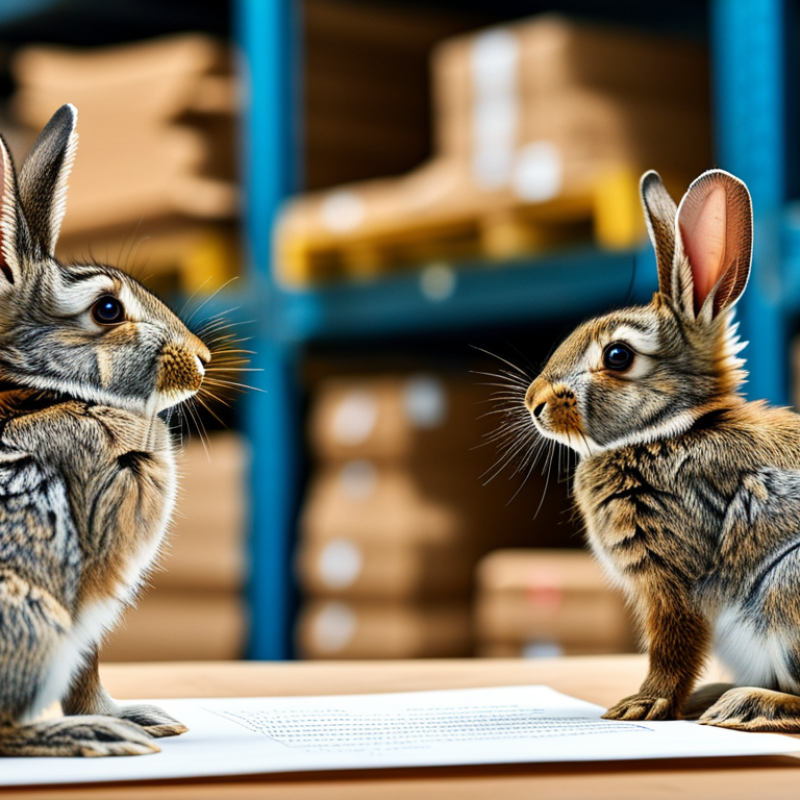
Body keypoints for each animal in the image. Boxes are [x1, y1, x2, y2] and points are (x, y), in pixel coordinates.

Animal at [0, 104, 211, 756]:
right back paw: (90, 736)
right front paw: (118, 721)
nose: (202, 360)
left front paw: (146, 717)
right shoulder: (91, 581)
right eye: (108, 310)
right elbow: (84, 664)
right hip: (32, 614)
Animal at [524, 166, 800, 732]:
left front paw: (640, 706)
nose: (533, 403)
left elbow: (673, 647)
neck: (667, 432)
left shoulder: (673, 578)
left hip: (786, 584)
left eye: (617, 356)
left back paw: (746, 706)